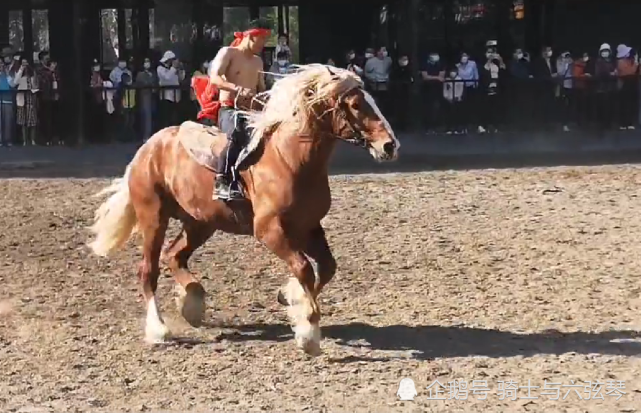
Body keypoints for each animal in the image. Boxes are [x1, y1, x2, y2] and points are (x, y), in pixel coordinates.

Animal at [87, 63, 398, 354]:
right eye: (356, 105)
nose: (389, 145)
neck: (289, 160)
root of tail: (148, 148)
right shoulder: (270, 230)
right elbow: (304, 268)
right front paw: (308, 333)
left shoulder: (309, 227)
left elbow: (326, 267)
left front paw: (289, 297)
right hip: (154, 218)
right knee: (148, 271)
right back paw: (158, 329)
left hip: (200, 223)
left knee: (174, 255)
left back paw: (192, 303)